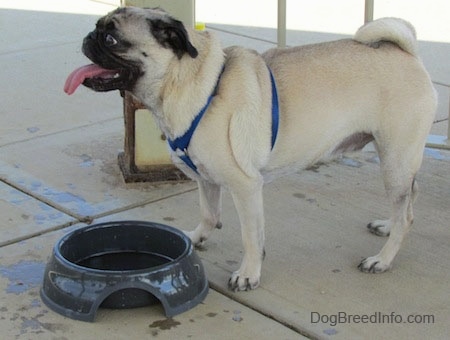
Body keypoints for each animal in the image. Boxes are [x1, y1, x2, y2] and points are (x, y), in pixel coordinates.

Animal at [64, 6, 436, 290]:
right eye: (97, 30)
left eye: (111, 39)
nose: (87, 38)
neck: (189, 82)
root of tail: (406, 52)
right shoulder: (206, 178)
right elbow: (209, 214)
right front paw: (196, 238)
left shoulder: (245, 186)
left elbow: (251, 237)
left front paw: (249, 273)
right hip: (399, 163)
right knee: (411, 199)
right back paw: (387, 226)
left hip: (395, 158)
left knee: (406, 212)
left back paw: (383, 258)